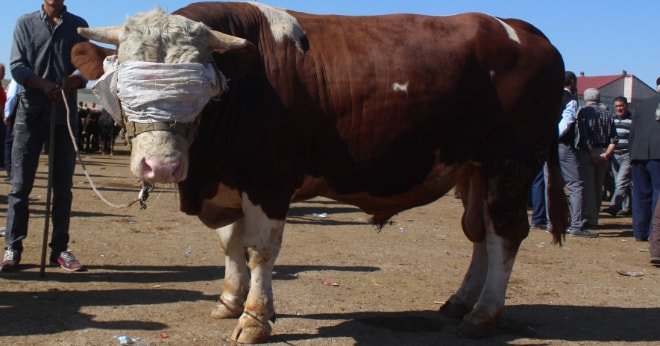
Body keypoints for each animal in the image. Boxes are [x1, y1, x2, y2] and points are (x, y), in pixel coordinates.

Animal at [71, 2, 568, 344]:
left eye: (197, 88)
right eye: (125, 83)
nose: (161, 166)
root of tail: (521, 29)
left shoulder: (268, 180)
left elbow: (259, 251)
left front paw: (255, 319)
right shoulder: (230, 181)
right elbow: (230, 244)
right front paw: (230, 301)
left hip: (511, 164)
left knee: (505, 233)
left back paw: (483, 314)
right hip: (476, 171)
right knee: (480, 232)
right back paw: (461, 301)